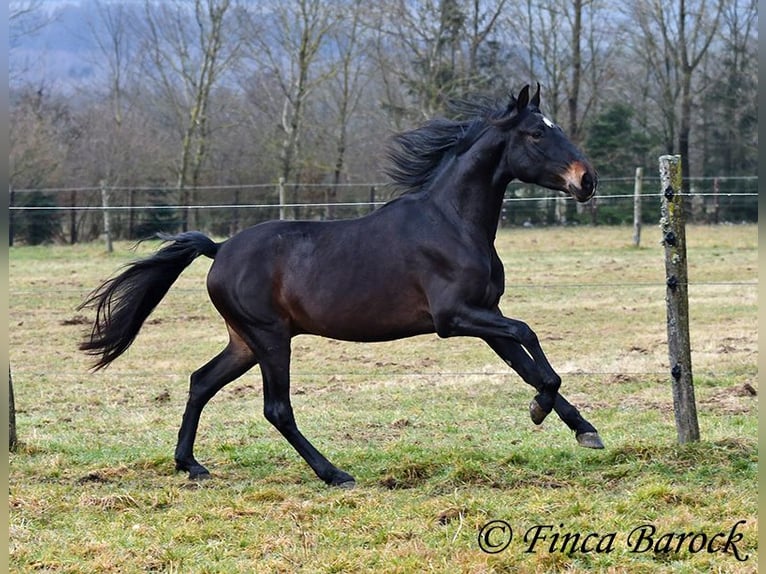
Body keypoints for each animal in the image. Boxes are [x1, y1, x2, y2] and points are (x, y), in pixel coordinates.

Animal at [78, 84, 608, 490]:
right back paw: (334, 474)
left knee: (201, 381)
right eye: (537, 132)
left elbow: (529, 365)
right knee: (277, 408)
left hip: (245, 341)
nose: (588, 180)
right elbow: (529, 338)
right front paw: (541, 411)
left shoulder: (485, 316)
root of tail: (220, 248)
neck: (452, 222)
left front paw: (584, 430)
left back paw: (191, 465)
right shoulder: (455, 317)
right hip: (270, 339)